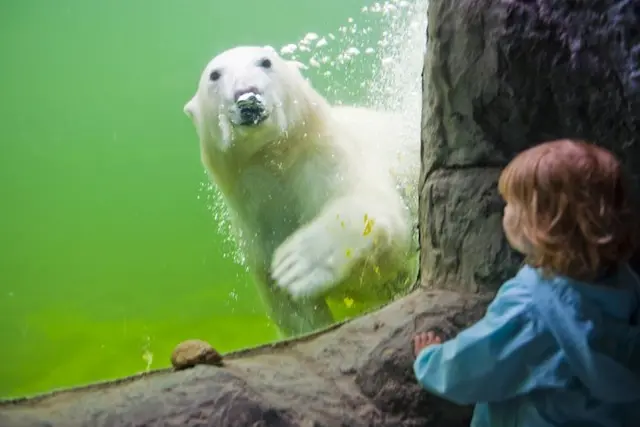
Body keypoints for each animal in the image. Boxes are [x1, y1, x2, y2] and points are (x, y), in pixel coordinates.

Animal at [182, 44, 420, 338]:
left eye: (265, 61)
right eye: (214, 75)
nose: (247, 96)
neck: (275, 161)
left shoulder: (331, 161)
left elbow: (375, 212)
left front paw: (295, 264)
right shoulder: (257, 225)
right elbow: (292, 310)